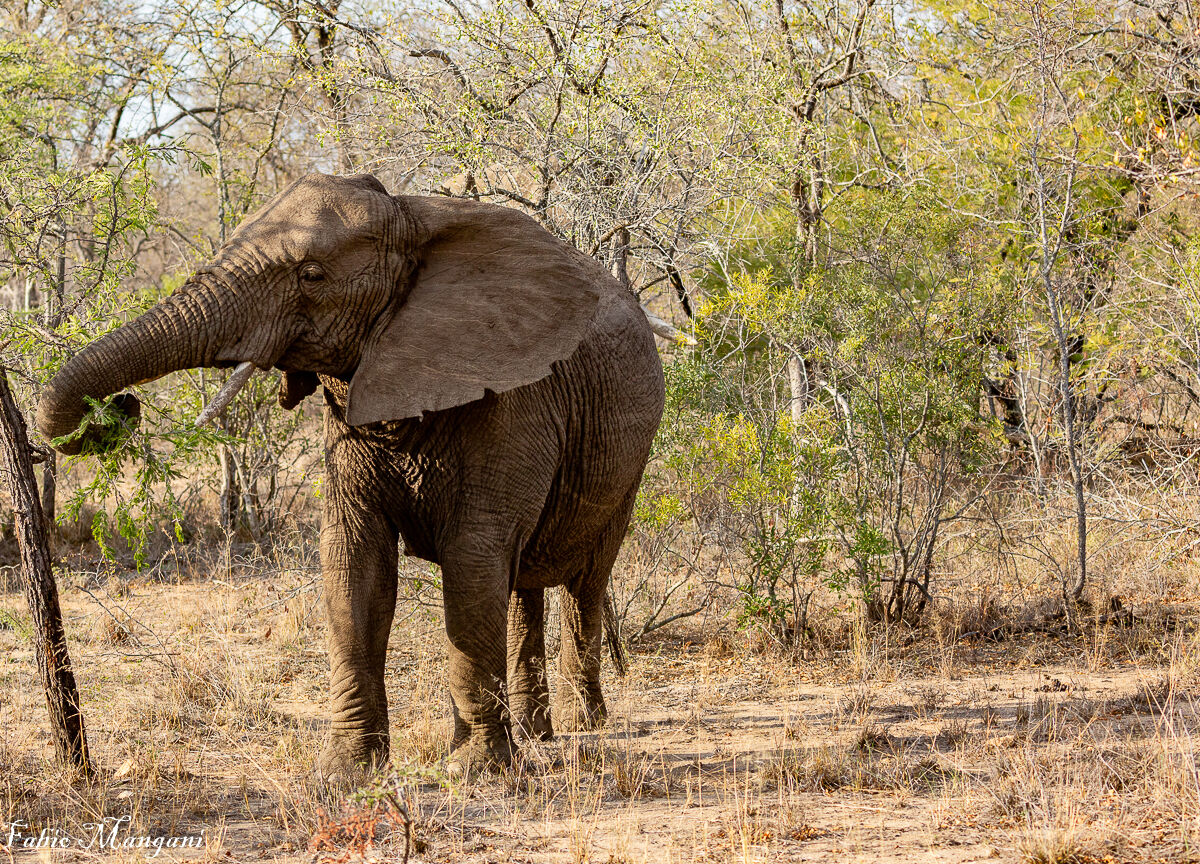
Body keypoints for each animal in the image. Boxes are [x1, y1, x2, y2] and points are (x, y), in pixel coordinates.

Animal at [36, 172, 666, 776]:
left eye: (311, 275)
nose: (121, 408)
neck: (413, 221)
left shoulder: (511, 395)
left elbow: (473, 561)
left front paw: (476, 770)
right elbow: (353, 564)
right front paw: (346, 773)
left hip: (630, 458)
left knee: (585, 582)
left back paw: (585, 725)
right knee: (524, 585)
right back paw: (538, 735)